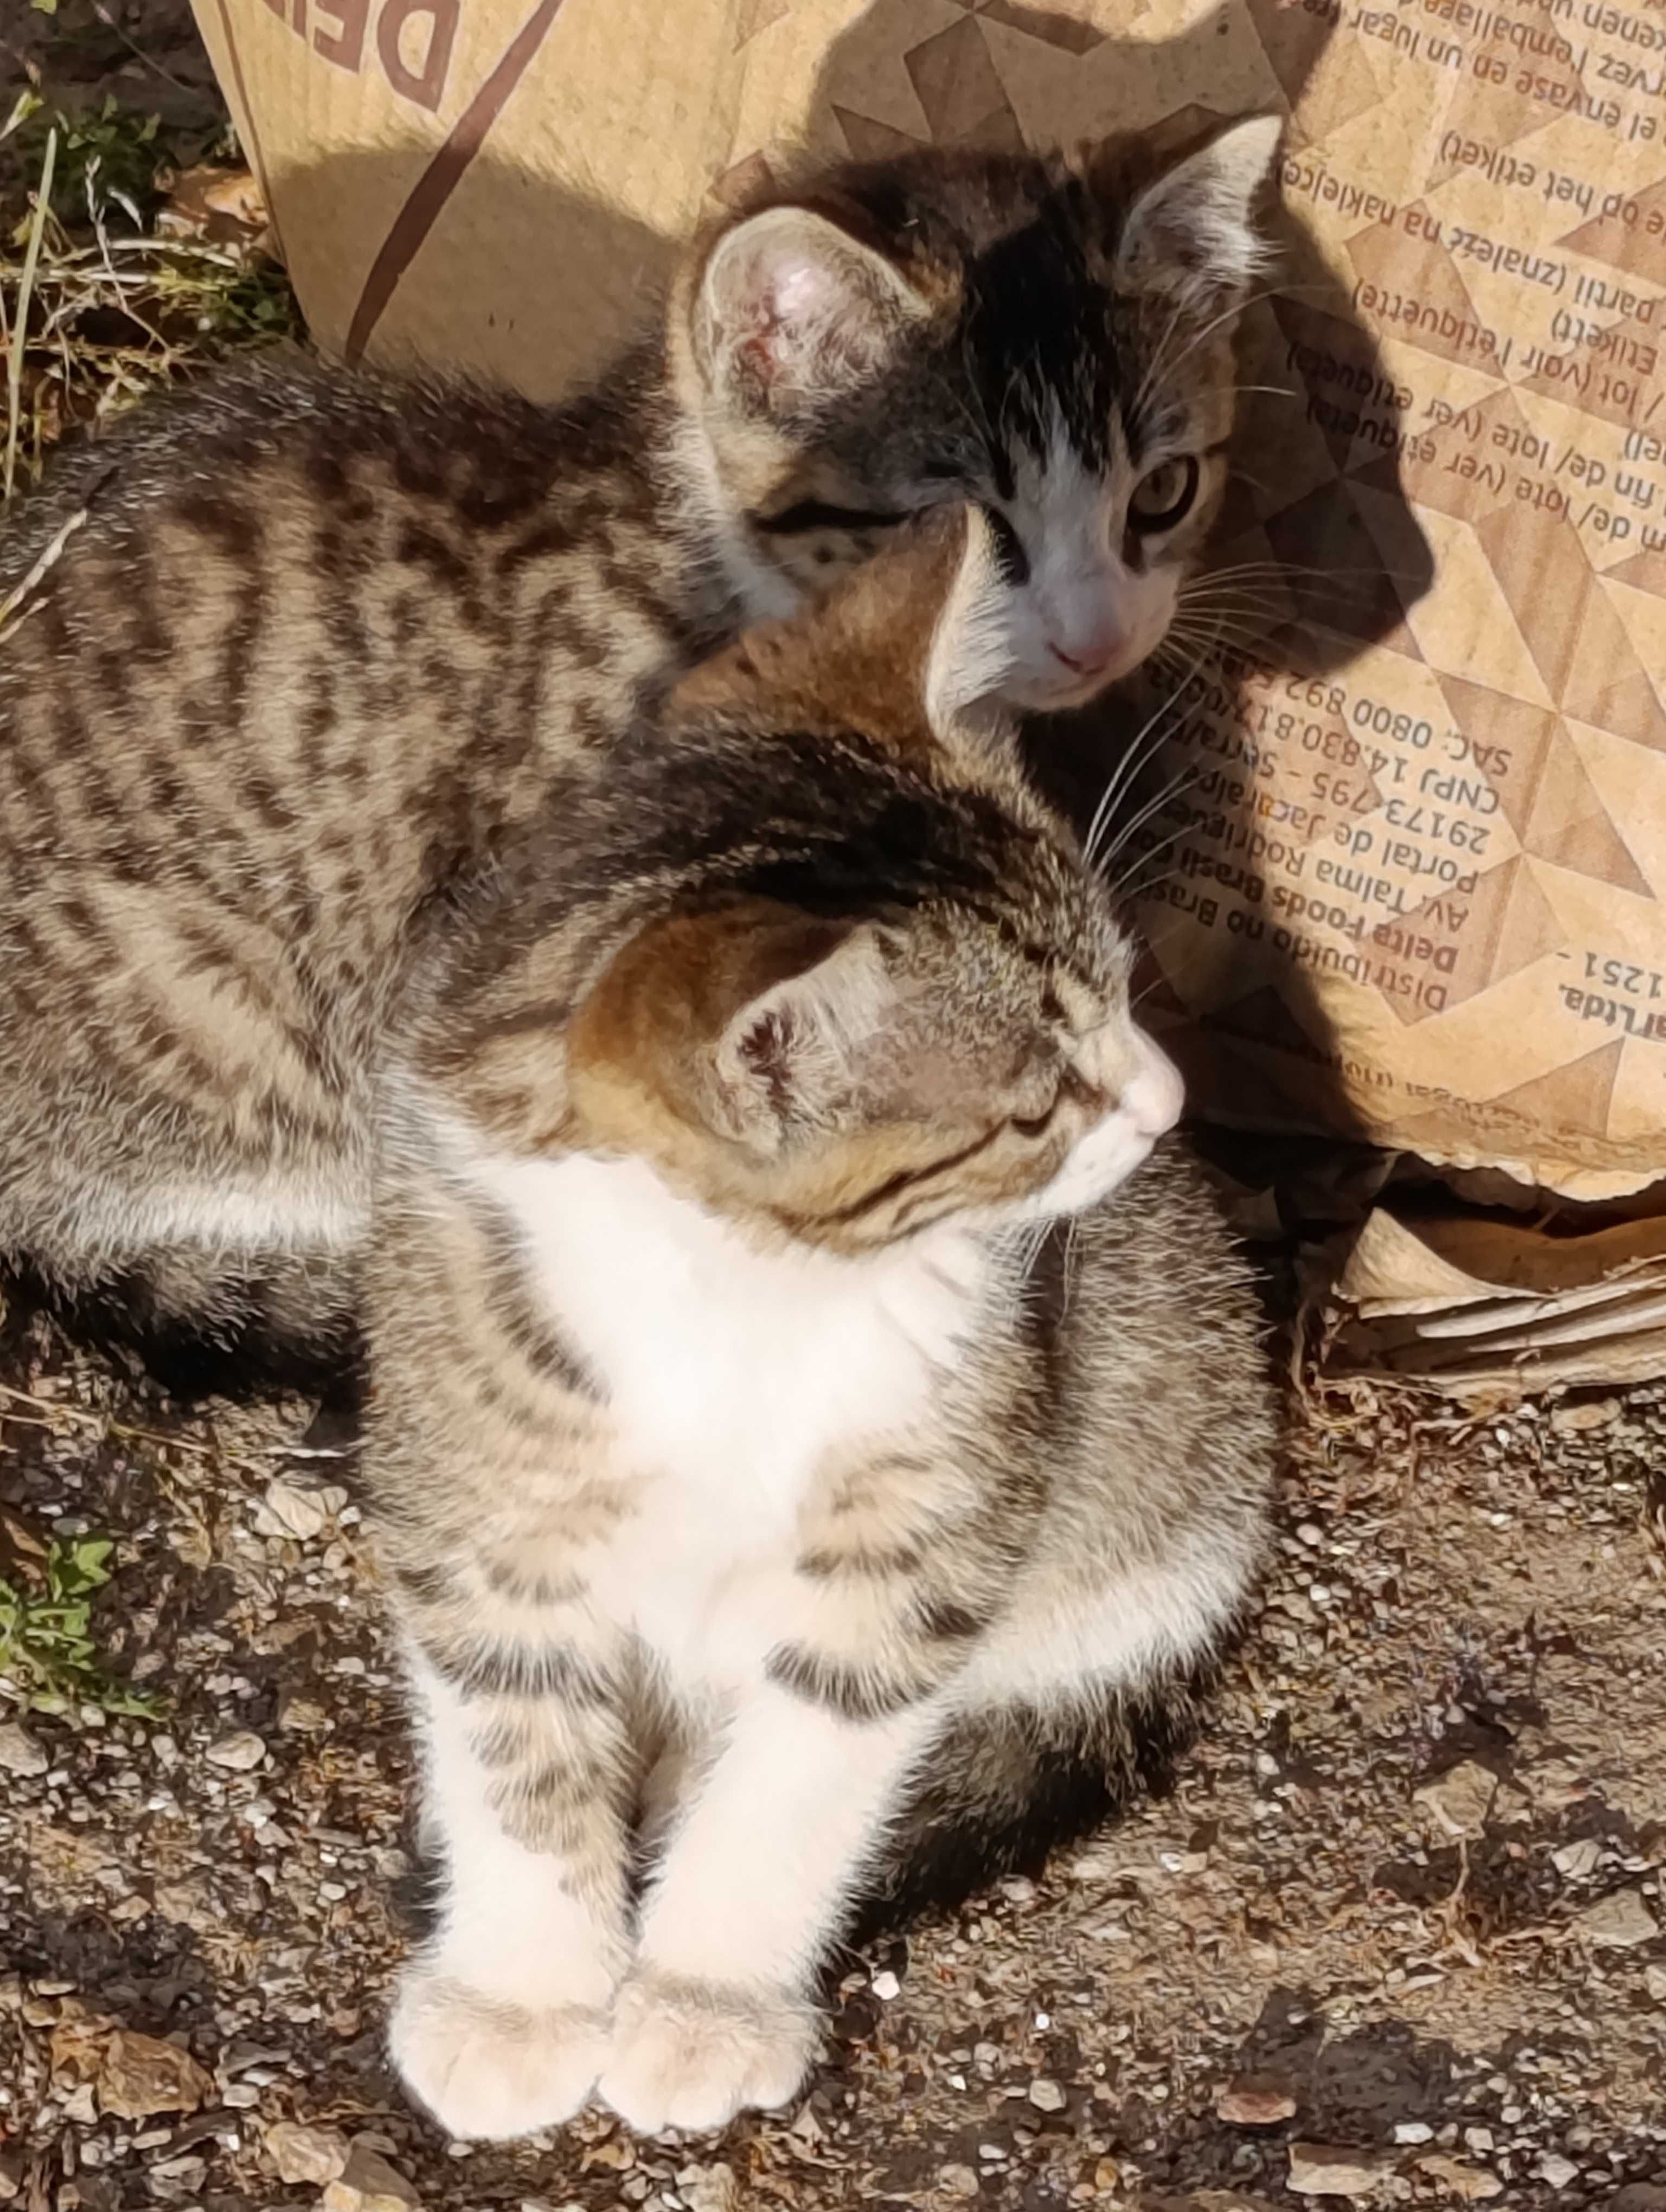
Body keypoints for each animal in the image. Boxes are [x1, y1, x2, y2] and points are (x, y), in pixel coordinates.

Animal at [367, 506, 1274, 2141]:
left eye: (1123, 988)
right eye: (1036, 1103)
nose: (1171, 1104)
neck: (742, 1287)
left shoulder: (927, 1523)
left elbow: (800, 1768)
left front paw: (700, 1998)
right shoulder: (472, 1487)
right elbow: (513, 1733)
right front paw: (522, 1994)